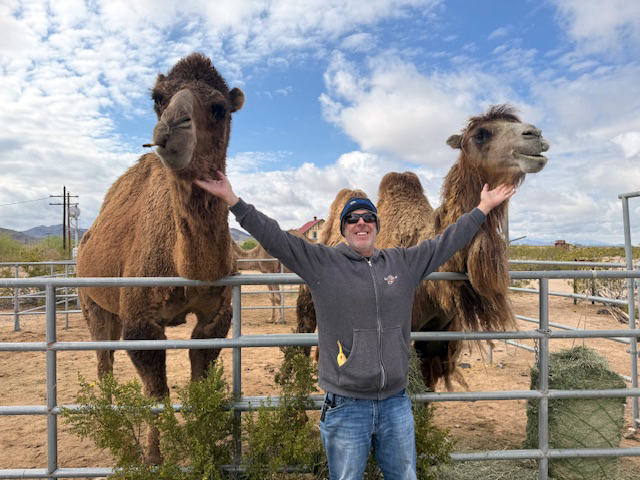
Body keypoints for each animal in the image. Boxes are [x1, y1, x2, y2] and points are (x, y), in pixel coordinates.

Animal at [76, 53, 244, 463]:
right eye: (158, 97)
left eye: (220, 108)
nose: (171, 128)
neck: (189, 269)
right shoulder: (140, 319)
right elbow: (156, 393)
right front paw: (153, 457)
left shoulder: (215, 317)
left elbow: (200, 384)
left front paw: (207, 451)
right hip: (90, 300)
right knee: (103, 361)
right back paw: (112, 425)